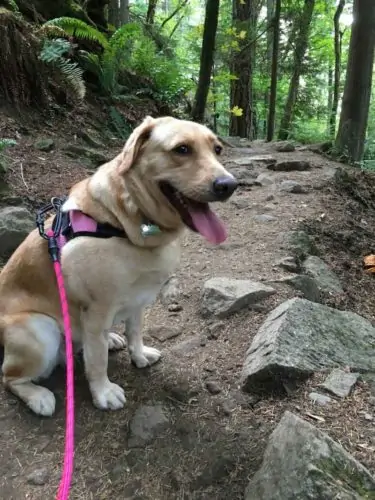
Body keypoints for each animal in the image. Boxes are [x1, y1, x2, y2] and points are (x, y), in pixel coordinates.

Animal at [0, 115, 238, 416]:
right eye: (182, 149)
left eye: (217, 149)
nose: (229, 185)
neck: (125, 224)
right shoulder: (96, 309)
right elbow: (97, 360)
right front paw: (103, 392)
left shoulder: (139, 299)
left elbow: (135, 331)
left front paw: (139, 354)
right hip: (40, 330)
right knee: (10, 378)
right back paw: (38, 396)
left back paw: (110, 339)